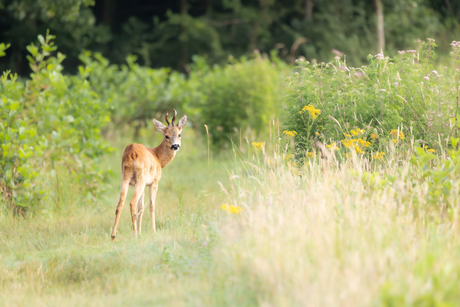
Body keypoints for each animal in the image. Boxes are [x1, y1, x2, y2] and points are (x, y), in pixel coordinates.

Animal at [110, 109, 186, 242]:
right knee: (132, 203)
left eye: (179, 134)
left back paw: (113, 236)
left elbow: (141, 207)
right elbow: (151, 206)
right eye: (166, 135)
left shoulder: (143, 184)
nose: (175, 146)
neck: (157, 156)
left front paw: (140, 232)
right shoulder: (154, 182)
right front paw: (153, 232)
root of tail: (132, 153)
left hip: (125, 177)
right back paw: (134, 235)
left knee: (120, 204)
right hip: (141, 177)